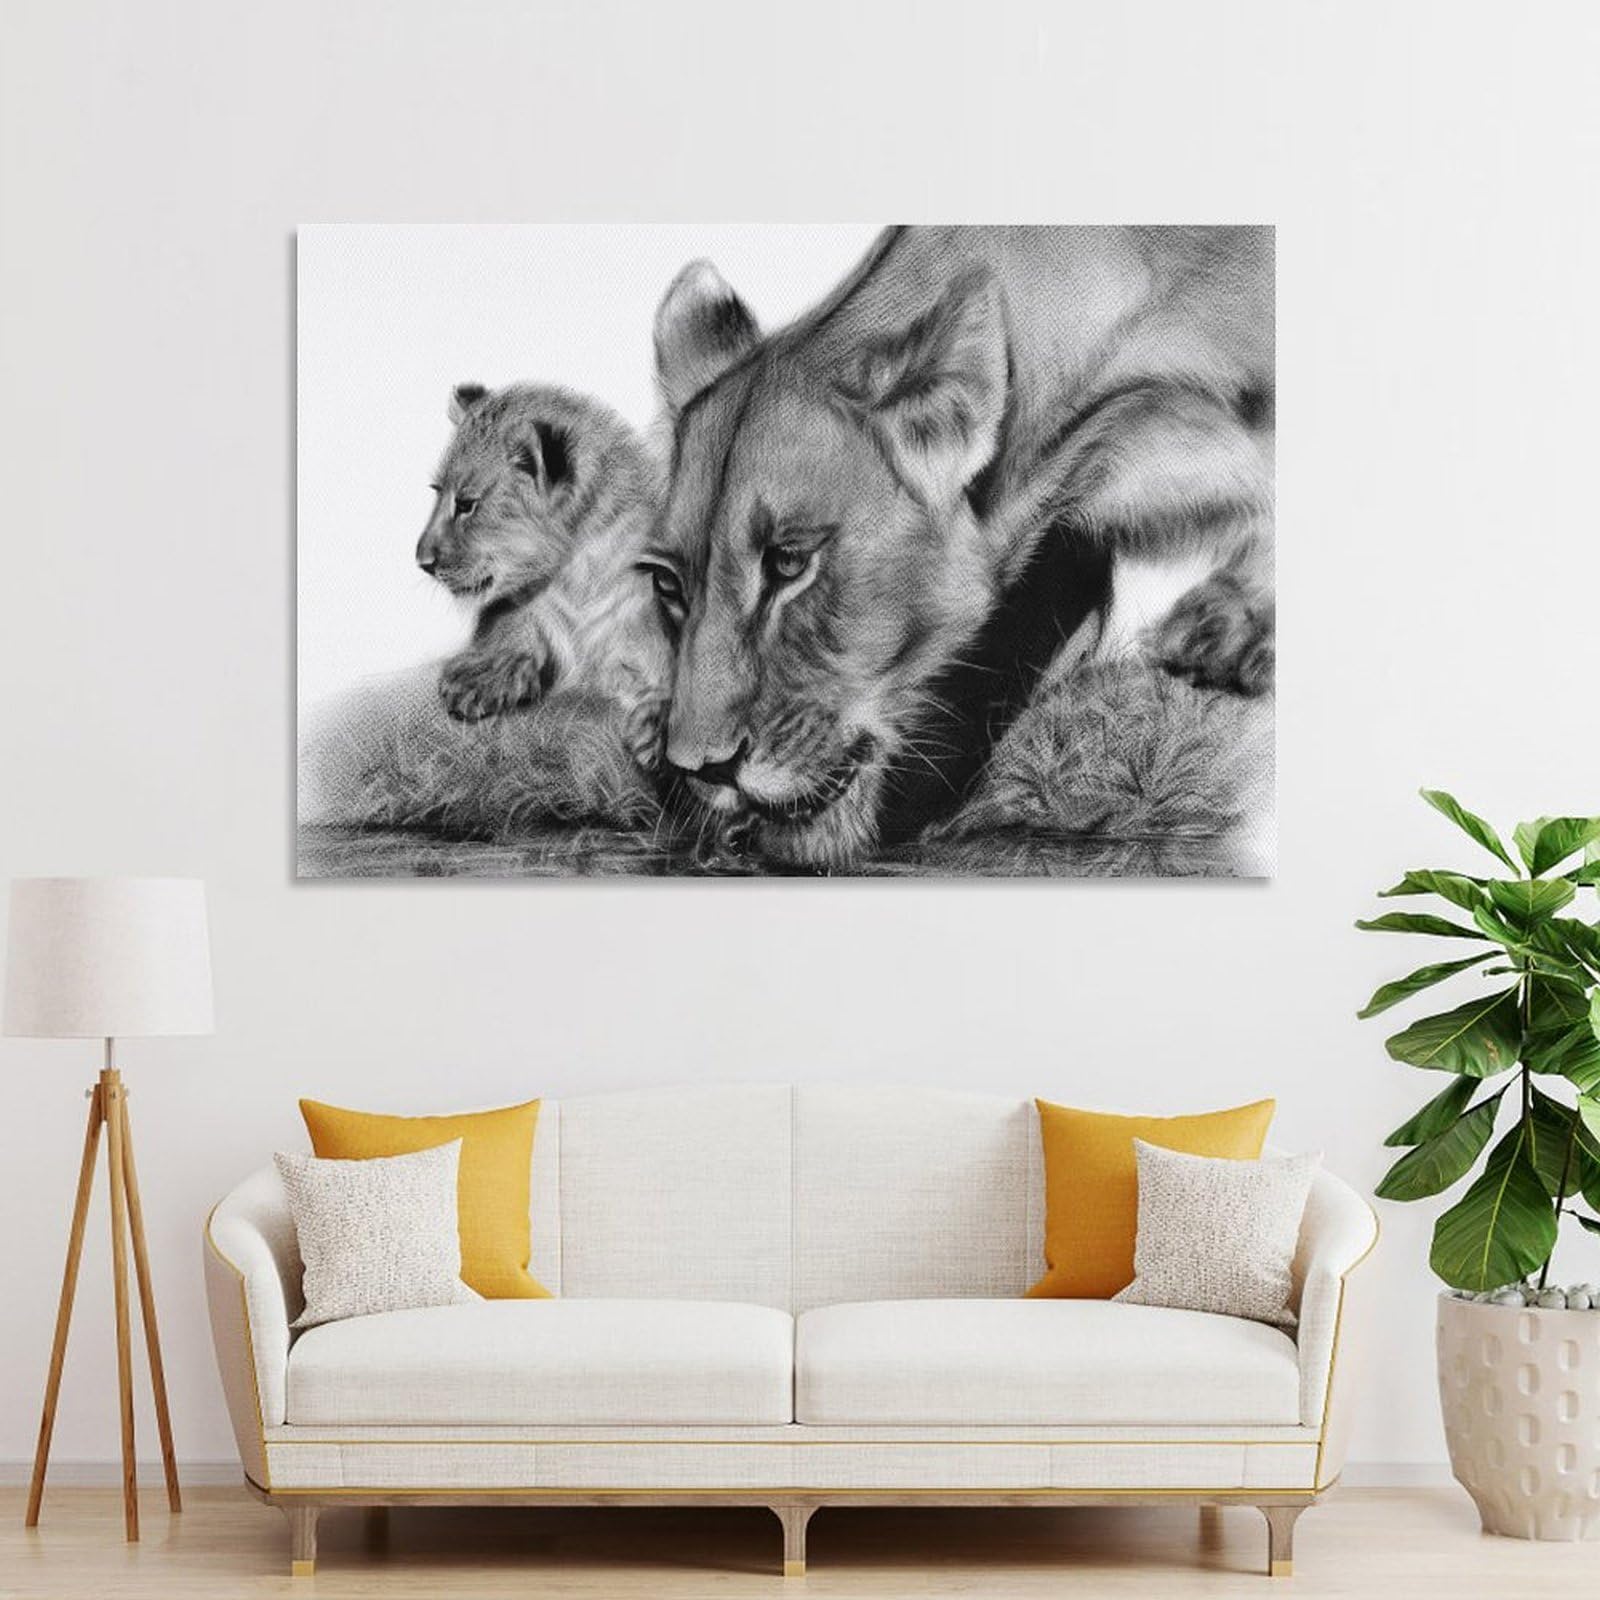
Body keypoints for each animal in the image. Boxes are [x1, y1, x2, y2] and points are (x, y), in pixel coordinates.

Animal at [416, 382, 672, 769]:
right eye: (436, 493)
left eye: (466, 505)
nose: (423, 562)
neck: (577, 573)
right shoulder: (525, 612)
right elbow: (513, 632)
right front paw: (478, 679)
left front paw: (657, 732)